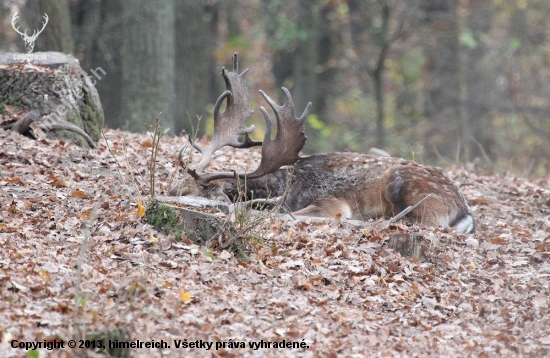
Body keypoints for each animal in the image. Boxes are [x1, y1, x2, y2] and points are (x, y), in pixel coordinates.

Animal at [170, 52, 476, 232]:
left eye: (189, 188)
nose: (170, 192)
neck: (282, 188)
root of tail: (463, 210)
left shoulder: (331, 202)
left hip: (403, 186)